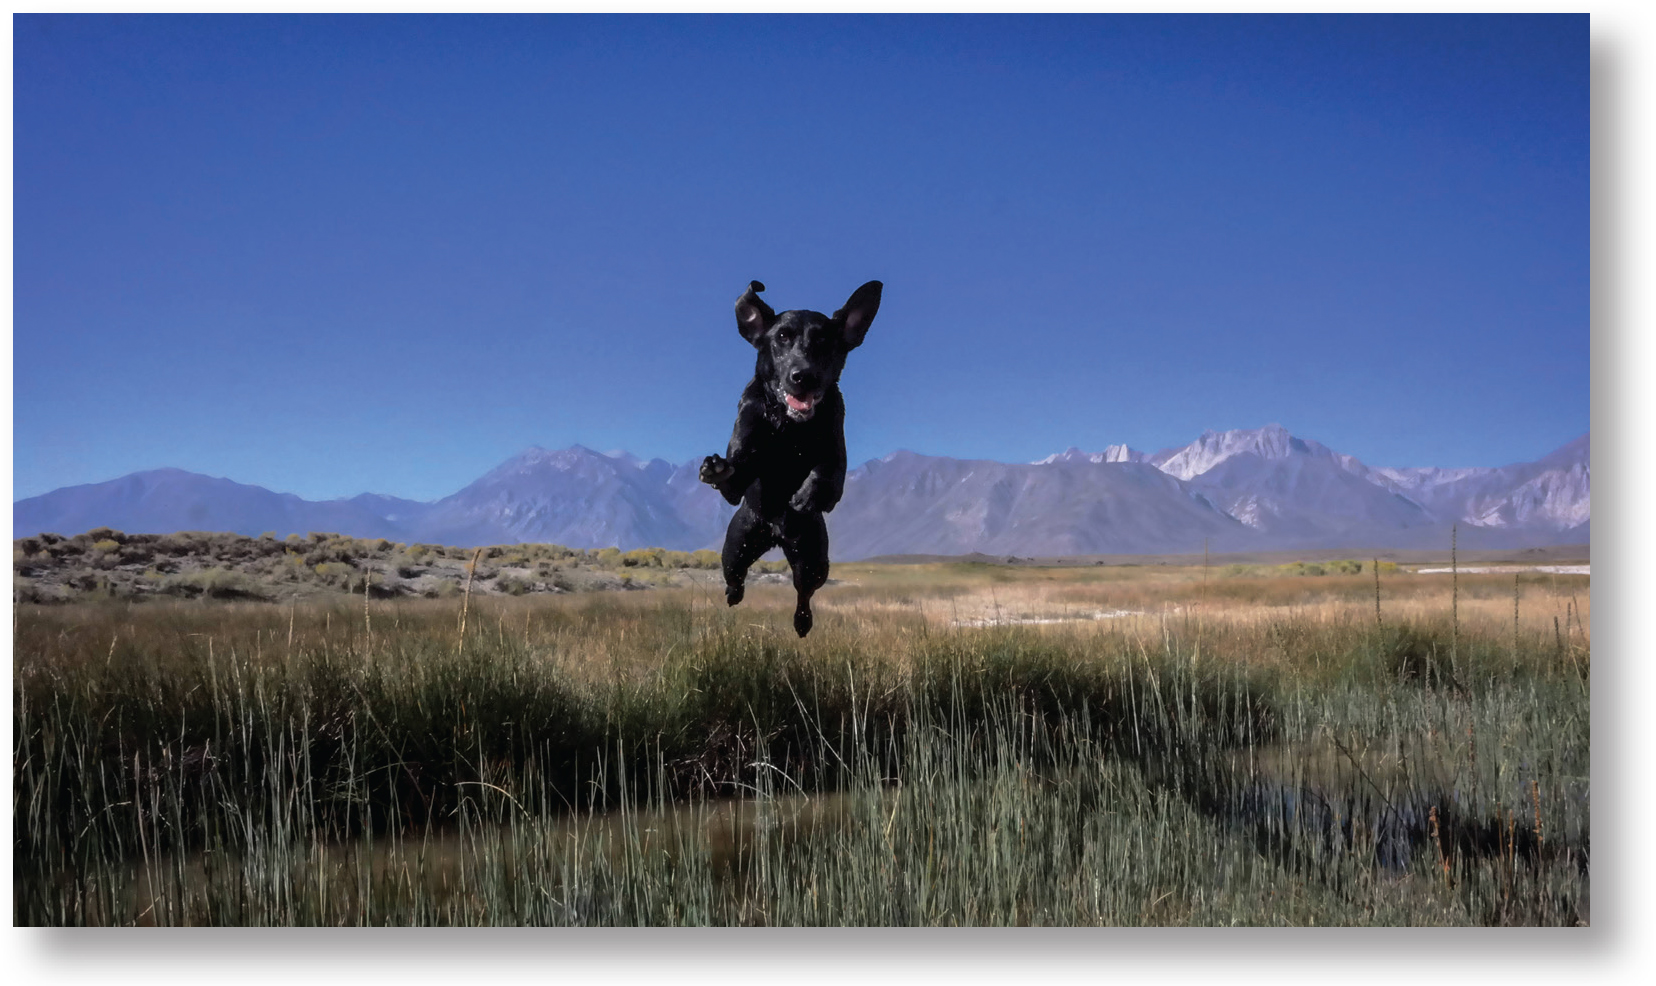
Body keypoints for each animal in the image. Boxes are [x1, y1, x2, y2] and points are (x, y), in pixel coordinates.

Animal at [698, 278, 880, 639]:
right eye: (781, 338)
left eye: (824, 342)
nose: (803, 375)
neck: (788, 425)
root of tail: (773, 535)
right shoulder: (740, 468)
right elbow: (734, 473)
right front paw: (716, 468)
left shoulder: (835, 452)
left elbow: (827, 473)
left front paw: (805, 496)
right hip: (735, 547)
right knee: (735, 577)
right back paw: (733, 595)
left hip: (813, 560)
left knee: (804, 593)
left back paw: (802, 622)